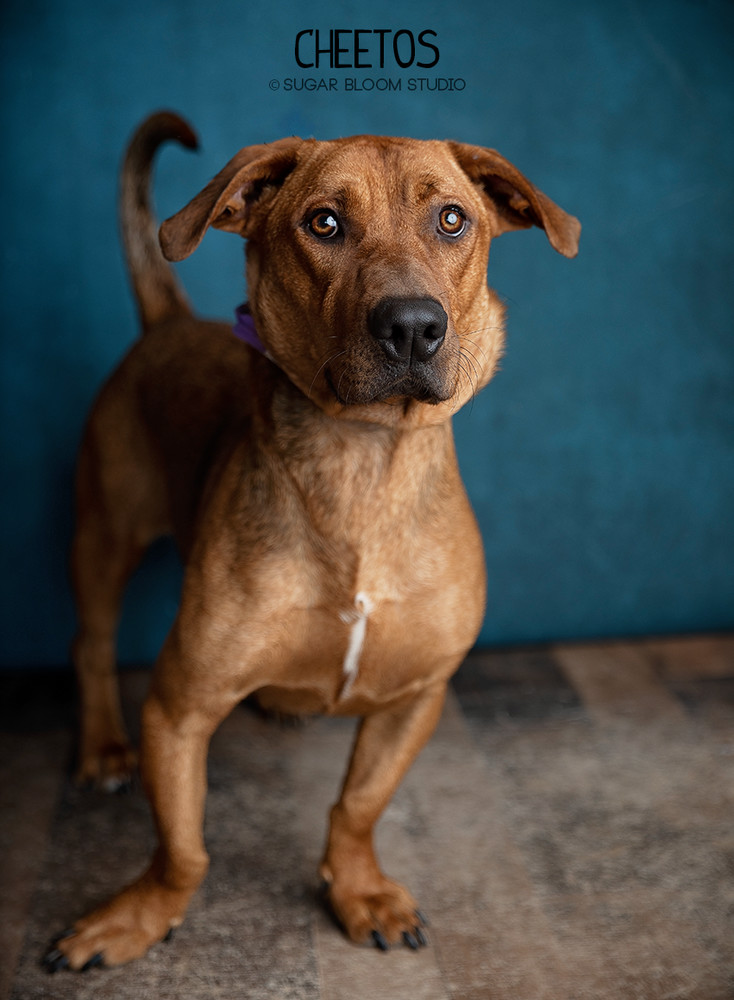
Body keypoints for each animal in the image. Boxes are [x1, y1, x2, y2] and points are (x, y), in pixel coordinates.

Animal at [44, 113, 580, 972]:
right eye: (323, 223)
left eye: (452, 219)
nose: (413, 326)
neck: (362, 463)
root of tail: (169, 322)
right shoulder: (178, 710)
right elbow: (183, 849)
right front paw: (141, 915)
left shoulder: (416, 698)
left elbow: (358, 806)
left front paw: (358, 889)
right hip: (101, 535)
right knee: (89, 646)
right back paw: (100, 748)